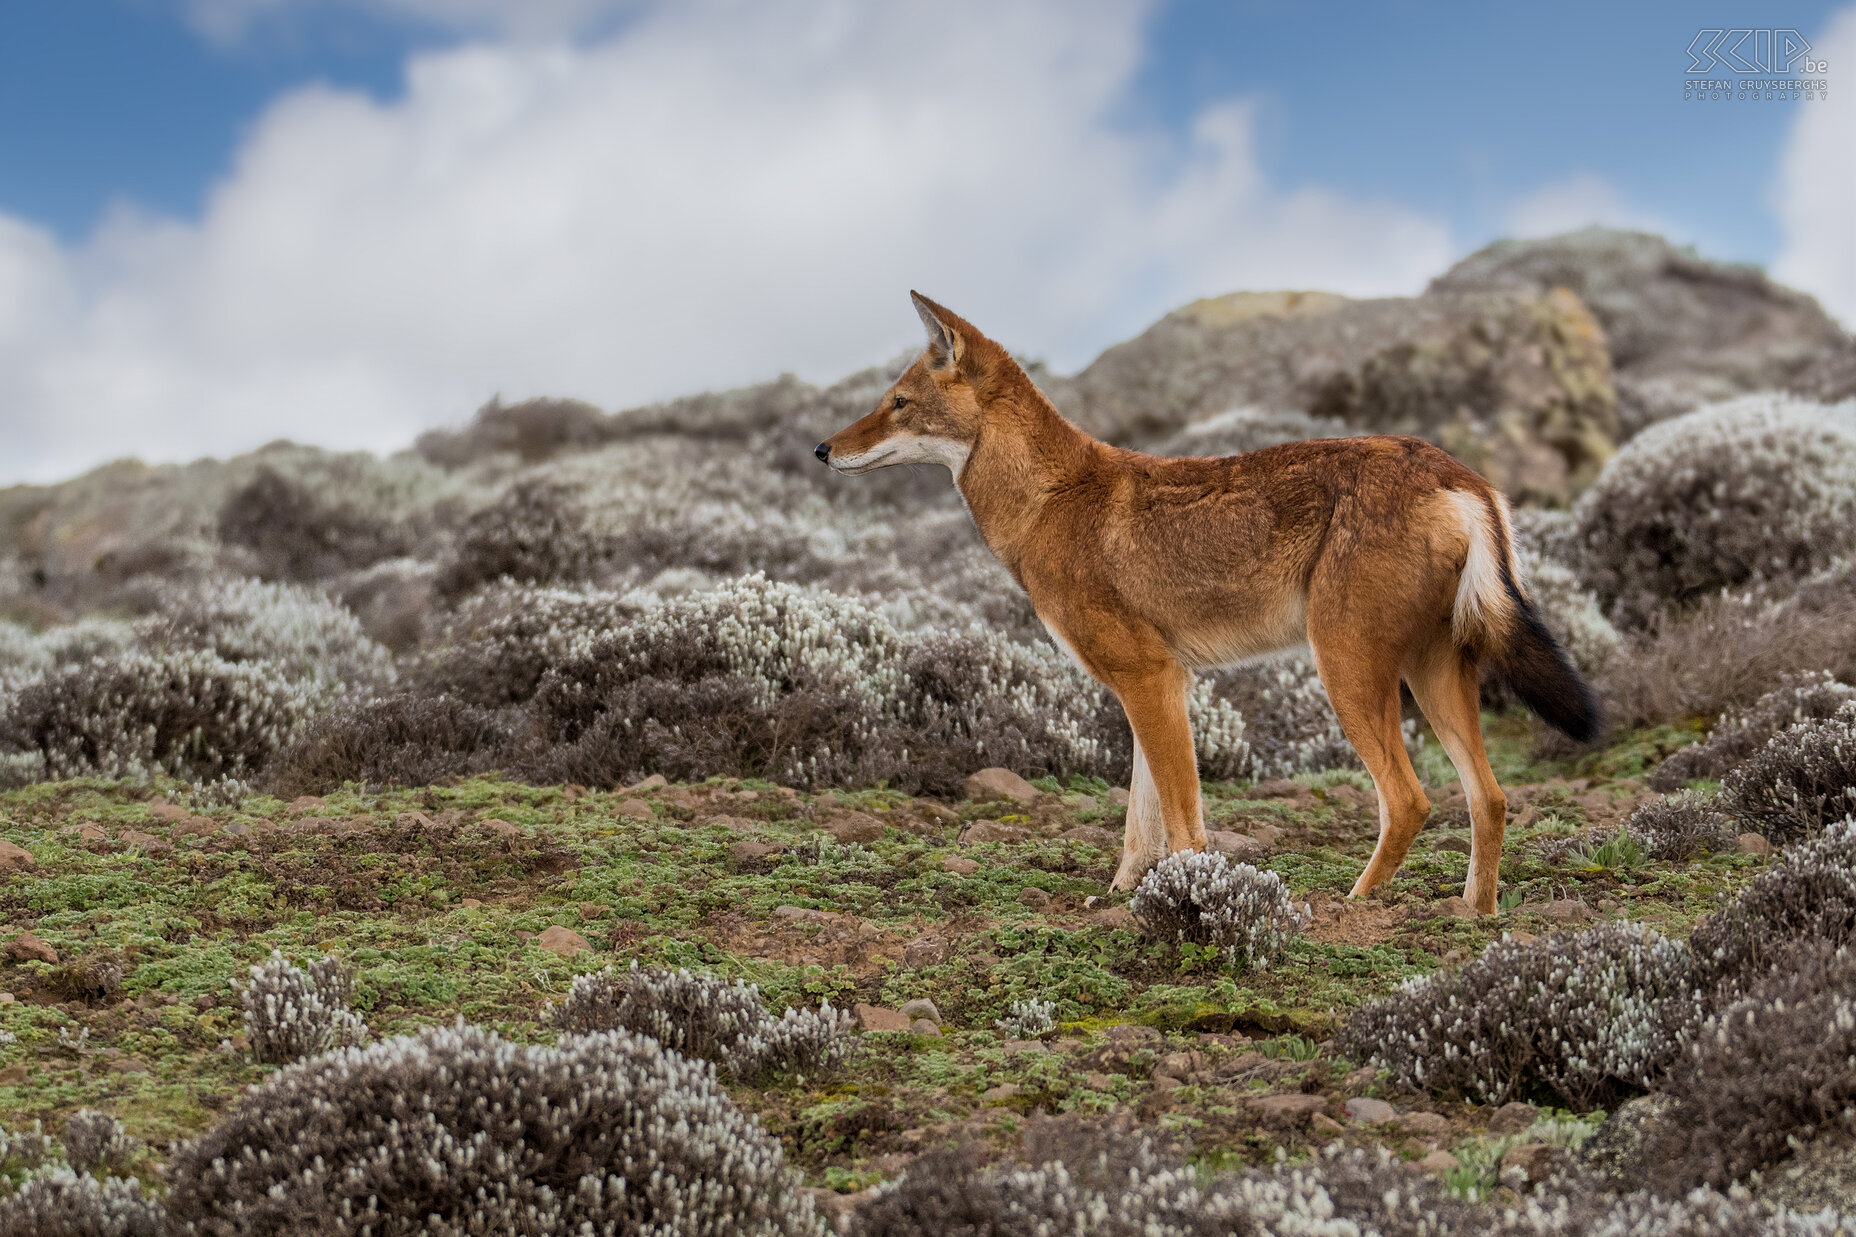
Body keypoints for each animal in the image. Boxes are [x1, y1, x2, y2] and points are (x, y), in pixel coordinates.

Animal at [820, 293, 1603, 910]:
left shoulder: (1151, 678)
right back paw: (1473, 914)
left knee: (1410, 800)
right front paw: (1121, 897)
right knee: (1489, 798)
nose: (822, 450)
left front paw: (1196, 901)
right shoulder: (1159, 683)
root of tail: (1458, 472)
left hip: (1348, 675)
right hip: (1432, 676)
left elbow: (1184, 827)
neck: (1048, 501)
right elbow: (1140, 827)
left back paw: (1353, 905)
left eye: (897, 403)